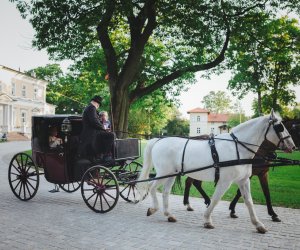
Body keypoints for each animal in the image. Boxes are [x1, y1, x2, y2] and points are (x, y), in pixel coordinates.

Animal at [137, 110, 296, 233]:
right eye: (280, 127)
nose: (293, 146)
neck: (238, 148)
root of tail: (158, 140)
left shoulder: (243, 180)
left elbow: (249, 202)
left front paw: (258, 224)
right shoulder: (225, 181)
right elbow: (215, 199)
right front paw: (207, 220)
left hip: (172, 174)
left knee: (165, 192)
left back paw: (169, 214)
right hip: (164, 173)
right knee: (151, 187)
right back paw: (154, 209)